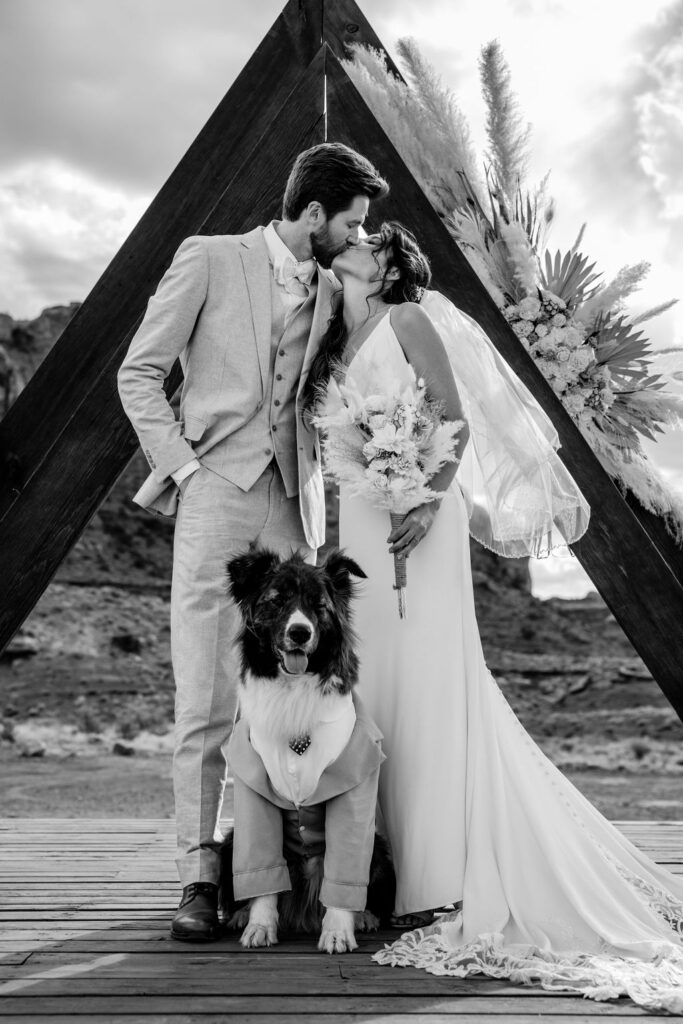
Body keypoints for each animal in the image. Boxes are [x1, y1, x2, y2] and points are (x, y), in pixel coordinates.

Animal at [222, 548, 395, 954]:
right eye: (276, 600)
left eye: (319, 606)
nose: (300, 632)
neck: (294, 689)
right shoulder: (254, 794)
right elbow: (264, 877)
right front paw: (259, 925)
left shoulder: (353, 789)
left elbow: (344, 873)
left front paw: (338, 931)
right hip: (230, 841)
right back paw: (240, 914)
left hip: (378, 846)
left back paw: (364, 916)